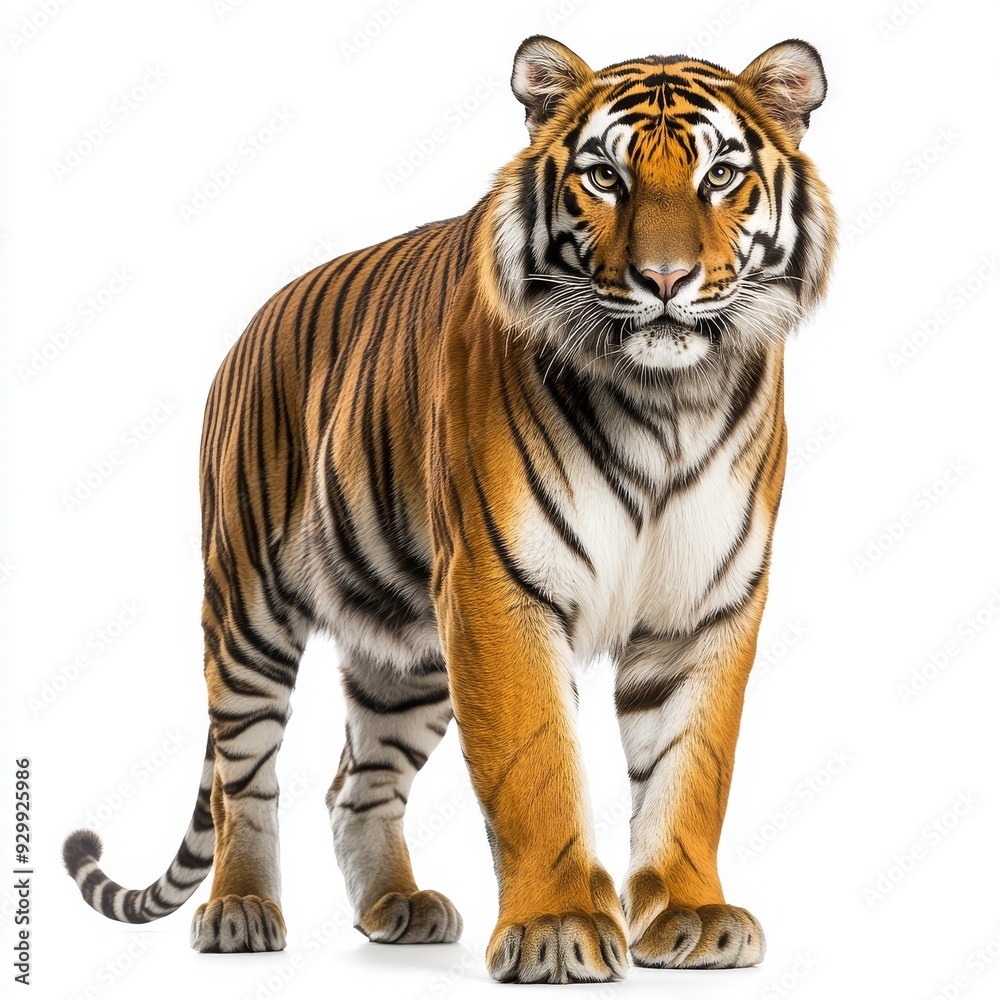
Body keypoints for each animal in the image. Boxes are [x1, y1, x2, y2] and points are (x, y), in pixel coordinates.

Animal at [63, 34, 835, 983]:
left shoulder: (706, 603)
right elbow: (536, 766)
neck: (666, 399)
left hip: (408, 648)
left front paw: (691, 916)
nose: (664, 279)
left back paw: (399, 907)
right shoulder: (499, 589)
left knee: (354, 782)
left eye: (721, 174)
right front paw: (556, 928)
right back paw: (240, 909)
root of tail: (252, 323)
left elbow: (691, 768)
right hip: (247, 606)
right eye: (605, 177)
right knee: (243, 774)